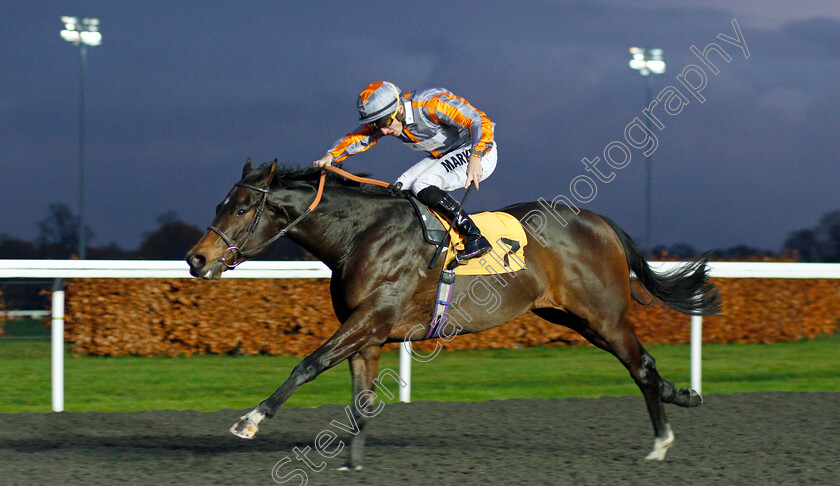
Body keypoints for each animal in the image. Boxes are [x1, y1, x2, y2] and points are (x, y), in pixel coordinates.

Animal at [185, 160, 720, 470]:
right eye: (221, 203)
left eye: (241, 208)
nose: (196, 259)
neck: (360, 235)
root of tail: (601, 221)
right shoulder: (369, 333)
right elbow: (361, 399)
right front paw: (352, 463)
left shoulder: (371, 319)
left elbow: (308, 364)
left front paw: (251, 419)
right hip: (573, 318)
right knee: (641, 365)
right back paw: (683, 396)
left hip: (603, 314)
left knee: (640, 365)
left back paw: (661, 442)